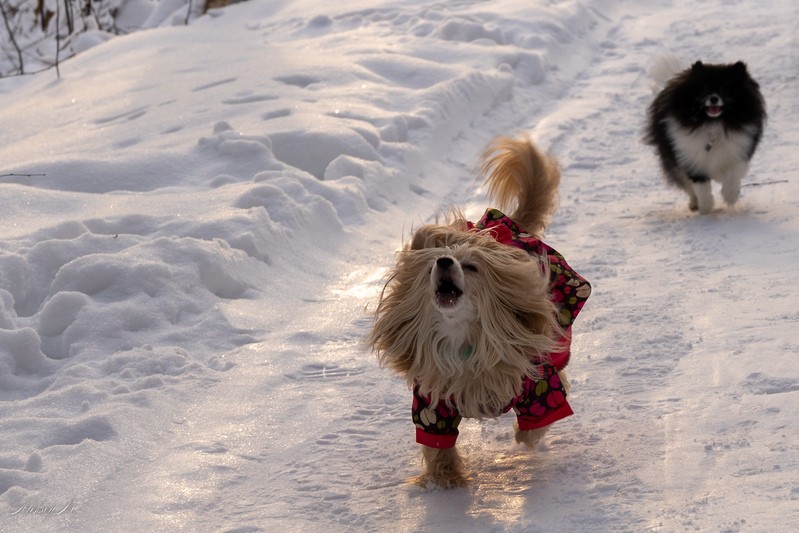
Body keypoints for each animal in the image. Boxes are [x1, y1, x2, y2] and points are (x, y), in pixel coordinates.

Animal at [644, 58, 768, 214]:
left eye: (725, 89)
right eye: (704, 89)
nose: (713, 98)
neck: (713, 123)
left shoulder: (738, 151)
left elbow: (733, 173)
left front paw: (730, 196)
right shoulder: (691, 159)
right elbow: (701, 187)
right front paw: (706, 207)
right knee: (688, 185)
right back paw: (694, 204)